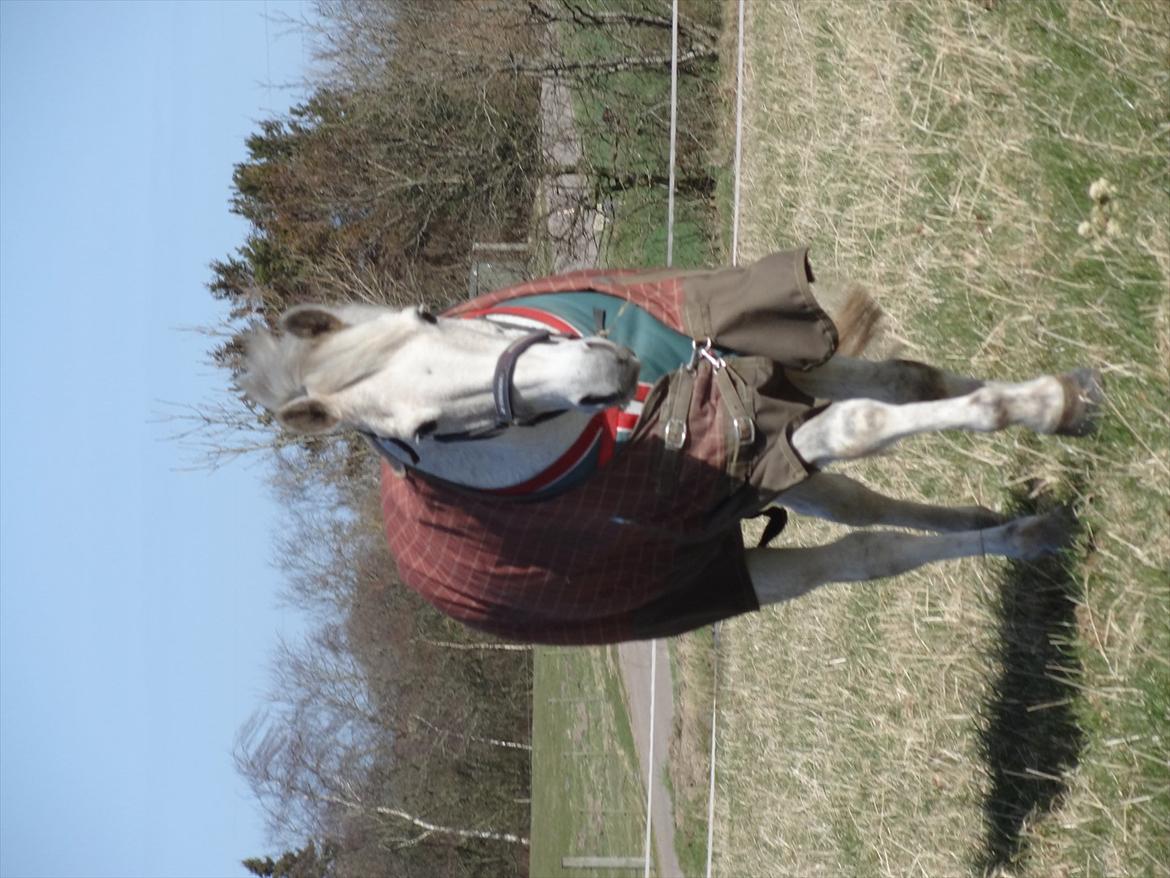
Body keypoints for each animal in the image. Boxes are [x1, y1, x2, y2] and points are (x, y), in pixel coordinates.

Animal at [242, 250, 1099, 641]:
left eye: (426, 314)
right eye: (418, 434)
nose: (601, 366)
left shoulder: (762, 376)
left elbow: (909, 381)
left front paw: (1066, 397)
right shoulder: (756, 435)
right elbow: (861, 423)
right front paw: (1049, 405)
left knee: (864, 512)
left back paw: (1012, 526)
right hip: (734, 559)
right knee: (866, 552)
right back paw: (1026, 534)